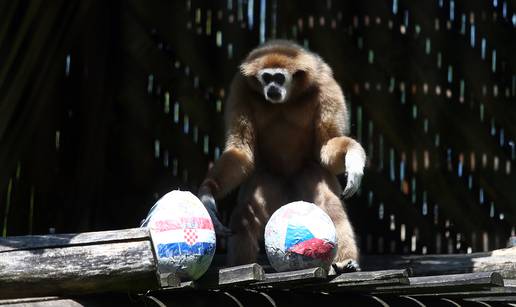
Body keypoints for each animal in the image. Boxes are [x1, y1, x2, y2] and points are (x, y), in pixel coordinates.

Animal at [199, 39, 366, 274]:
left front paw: (353, 157)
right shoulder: (241, 87)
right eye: (266, 78)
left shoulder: (326, 84)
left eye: (279, 78)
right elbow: (241, 149)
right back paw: (241, 268)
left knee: (330, 203)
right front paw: (207, 192)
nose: (272, 88)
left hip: (307, 172)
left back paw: (346, 262)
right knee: (245, 214)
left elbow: (326, 143)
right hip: (269, 178)